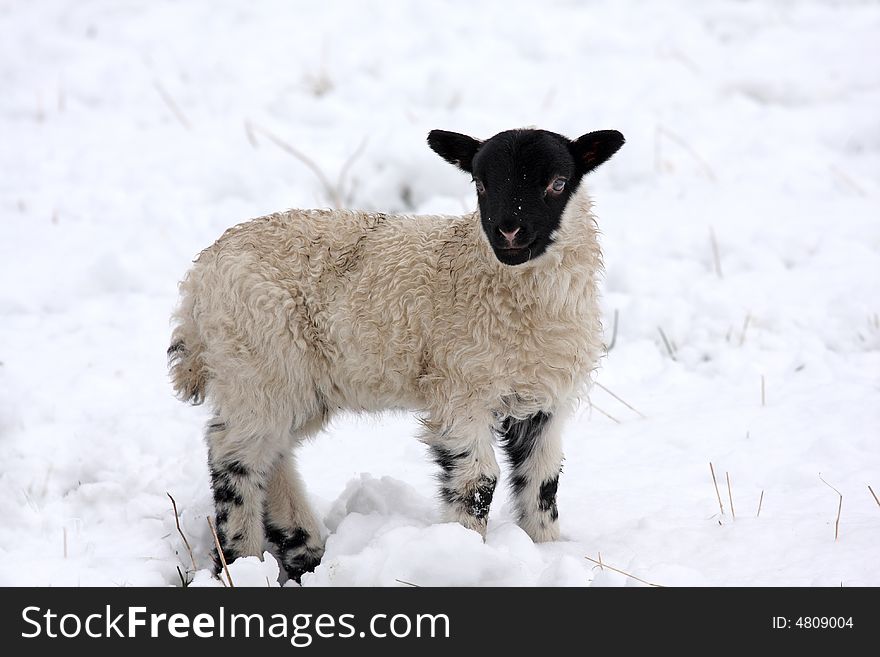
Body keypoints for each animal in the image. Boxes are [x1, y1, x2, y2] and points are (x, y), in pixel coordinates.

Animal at [170, 127, 624, 580]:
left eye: (558, 183)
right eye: (480, 184)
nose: (508, 233)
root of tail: (198, 277)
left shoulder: (544, 400)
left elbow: (542, 480)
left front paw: (546, 550)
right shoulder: (460, 388)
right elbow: (478, 481)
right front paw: (461, 552)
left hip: (294, 382)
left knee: (271, 451)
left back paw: (302, 549)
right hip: (257, 361)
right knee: (234, 455)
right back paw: (240, 560)